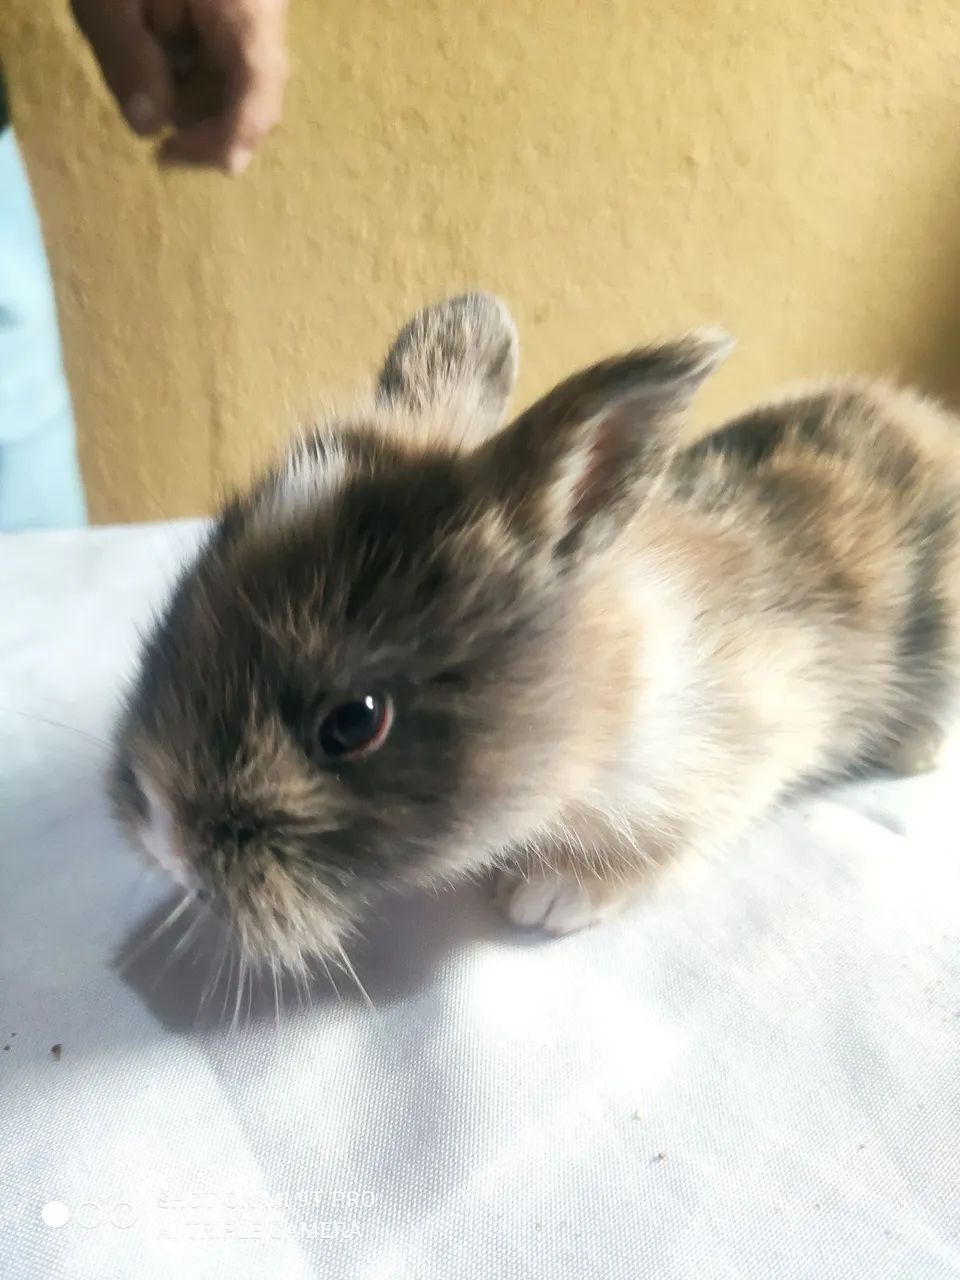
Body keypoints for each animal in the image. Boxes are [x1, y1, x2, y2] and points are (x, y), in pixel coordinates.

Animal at [110, 292, 960, 971]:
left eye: (353, 723)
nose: (162, 840)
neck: (600, 693)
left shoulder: (735, 752)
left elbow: (662, 844)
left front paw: (549, 894)